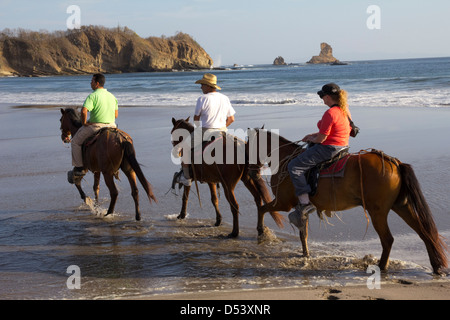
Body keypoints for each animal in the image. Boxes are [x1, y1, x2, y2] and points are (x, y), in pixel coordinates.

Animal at [251, 128, 448, 276]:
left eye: (249, 146)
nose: (253, 172)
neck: (286, 160)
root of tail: (395, 163)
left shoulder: (283, 203)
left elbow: (262, 208)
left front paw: (261, 231)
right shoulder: (300, 208)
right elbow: (303, 234)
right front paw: (305, 255)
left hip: (377, 212)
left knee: (388, 239)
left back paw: (381, 267)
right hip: (401, 206)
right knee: (424, 233)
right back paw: (436, 266)